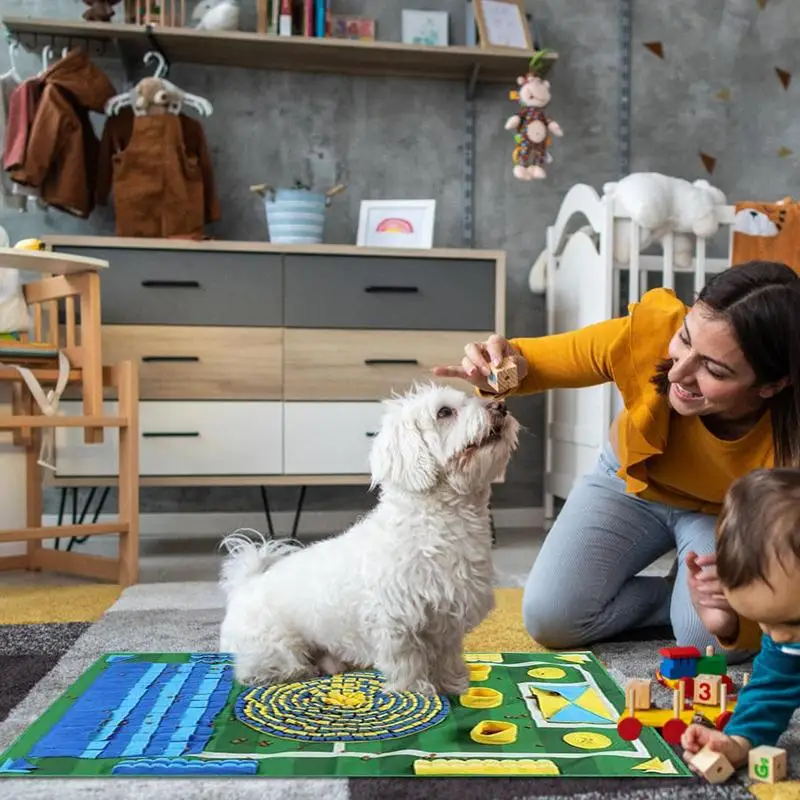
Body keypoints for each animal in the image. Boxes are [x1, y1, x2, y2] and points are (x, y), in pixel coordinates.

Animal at [217, 382, 520, 692]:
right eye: (444, 412)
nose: (500, 406)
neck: (440, 522)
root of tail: (245, 584)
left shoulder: (447, 618)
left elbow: (446, 657)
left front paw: (453, 685)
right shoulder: (396, 620)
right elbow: (407, 661)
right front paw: (416, 691)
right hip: (275, 646)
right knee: (259, 668)